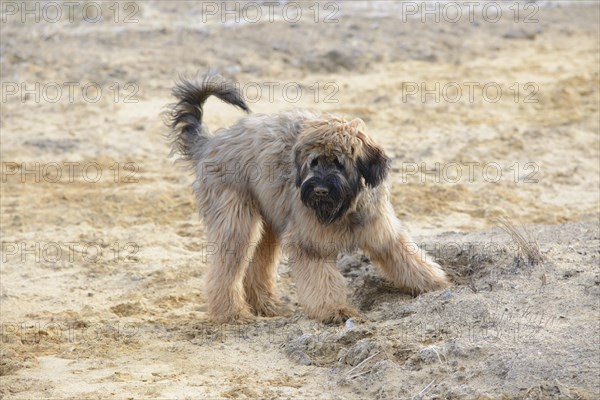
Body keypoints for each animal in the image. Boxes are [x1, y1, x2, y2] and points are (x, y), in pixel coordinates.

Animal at [166, 71, 448, 322]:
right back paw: (231, 313)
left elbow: (408, 259)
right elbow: (321, 280)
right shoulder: (310, 242)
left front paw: (436, 284)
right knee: (224, 271)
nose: (320, 190)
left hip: (270, 223)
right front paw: (334, 310)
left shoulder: (382, 232)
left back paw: (267, 305)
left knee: (258, 266)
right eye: (314, 162)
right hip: (236, 220)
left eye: (338, 164)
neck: (345, 208)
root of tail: (210, 143)